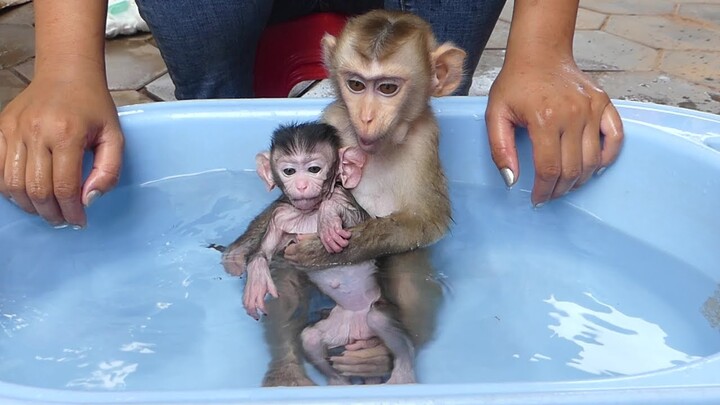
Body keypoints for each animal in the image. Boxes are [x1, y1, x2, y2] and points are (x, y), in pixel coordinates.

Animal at [246, 121, 416, 384]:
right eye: (289, 171)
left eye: (314, 169)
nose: (302, 185)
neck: (308, 213)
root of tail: (358, 329)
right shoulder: (280, 216)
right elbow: (265, 249)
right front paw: (256, 276)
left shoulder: (345, 197)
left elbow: (353, 217)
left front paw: (327, 216)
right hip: (339, 325)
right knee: (310, 338)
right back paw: (339, 381)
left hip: (378, 308)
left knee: (380, 319)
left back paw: (403, 371)